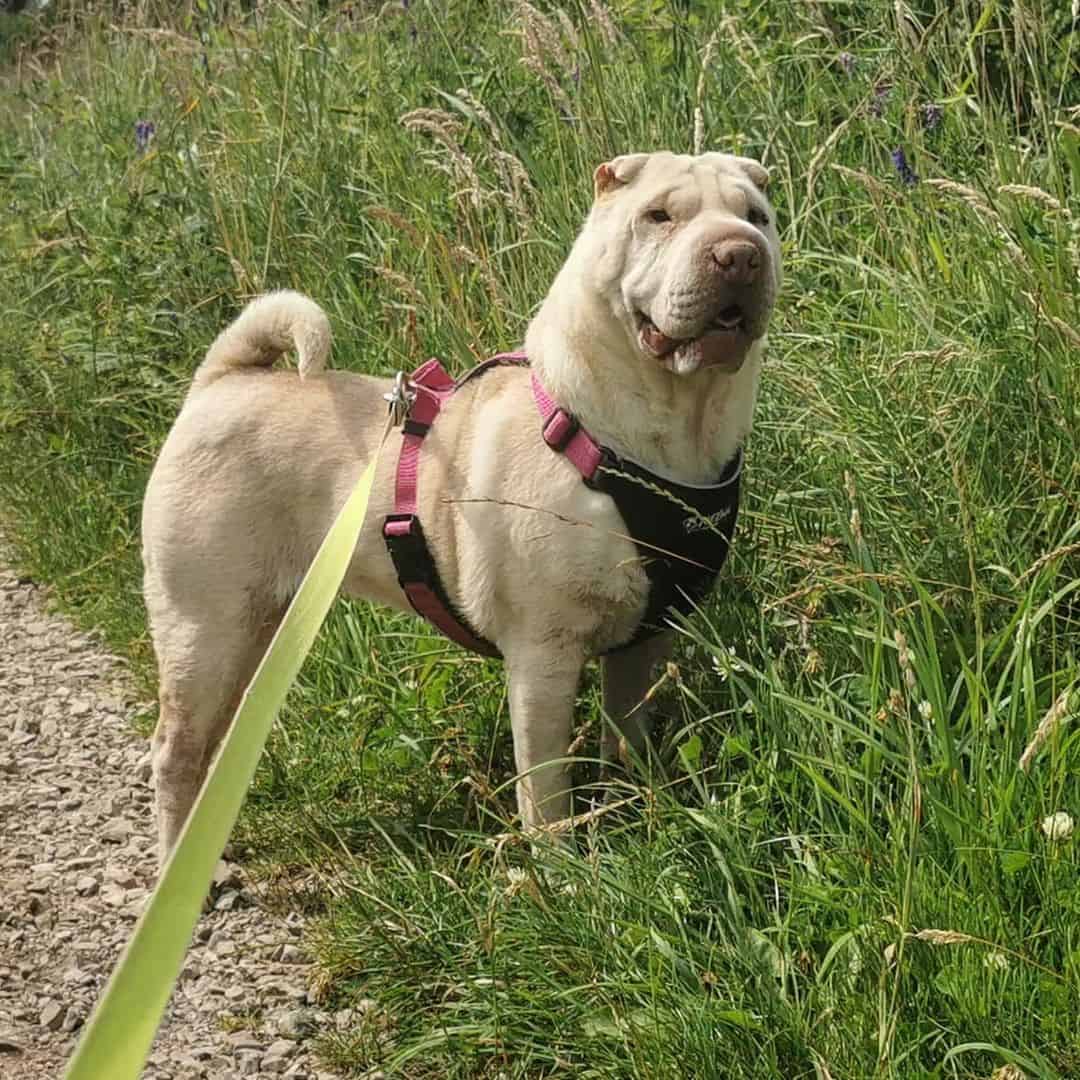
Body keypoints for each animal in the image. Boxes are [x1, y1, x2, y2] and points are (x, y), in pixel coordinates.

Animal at [145, 152, 786, 859]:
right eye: (659, 216)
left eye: (757, 217)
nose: (739, 254)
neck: (662, 434)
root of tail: (220, 381)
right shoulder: (543, 655)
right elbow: (545, 786)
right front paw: (561, 867)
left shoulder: (647, 642)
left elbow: (629, 740)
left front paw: (640, 813)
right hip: (205, 628)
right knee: (175, 752)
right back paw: (181, 856)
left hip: (253, 629)